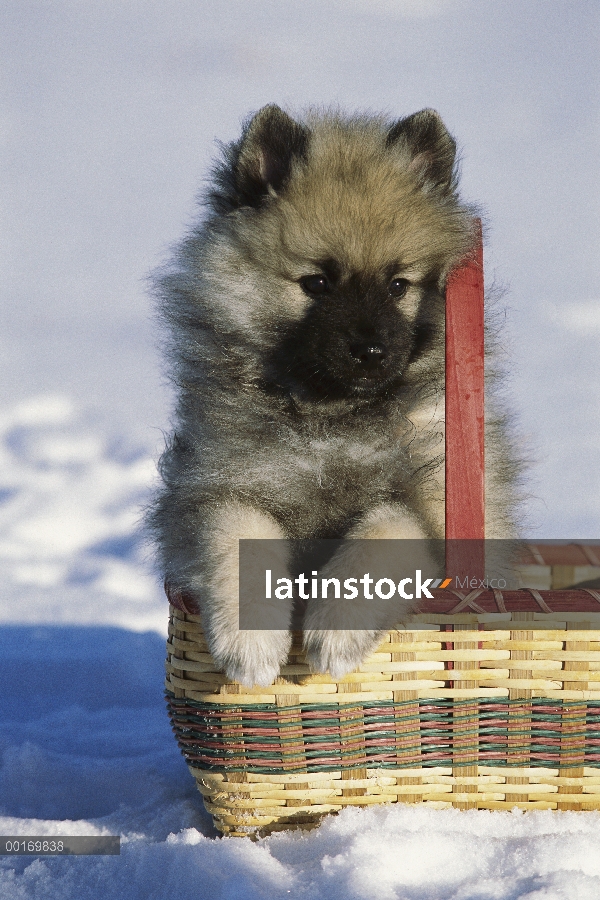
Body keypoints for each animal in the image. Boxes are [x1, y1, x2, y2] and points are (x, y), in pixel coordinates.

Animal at [149, 107, 516, 688]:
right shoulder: (215, 489)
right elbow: (238, 537)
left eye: (398, 285)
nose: (369, 351)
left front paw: (335, 636)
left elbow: (380, 536)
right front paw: (252, 647)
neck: (331, 421)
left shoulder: (428, 505)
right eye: (317, 282)